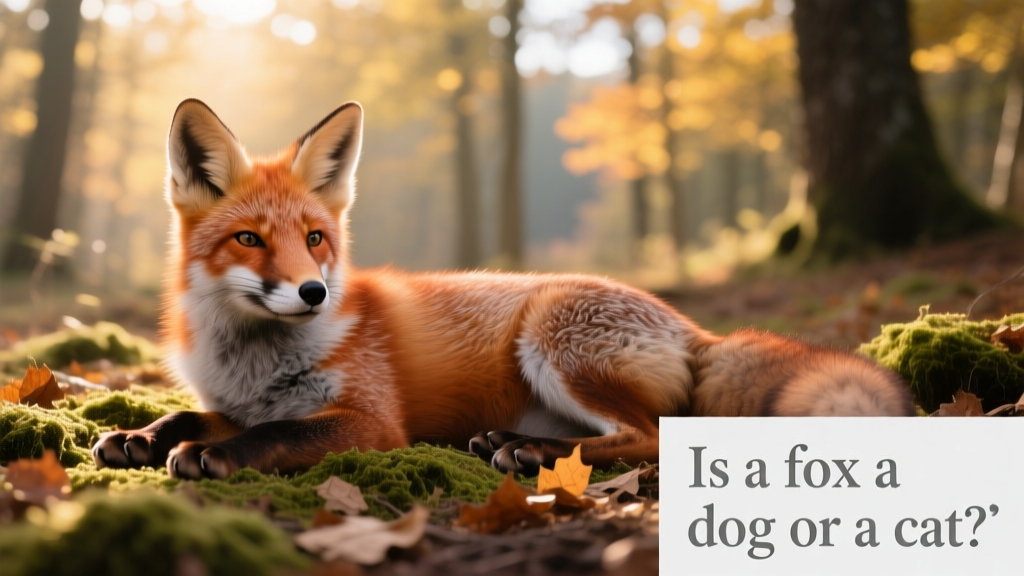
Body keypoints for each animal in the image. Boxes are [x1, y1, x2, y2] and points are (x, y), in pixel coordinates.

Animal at [91, 99, 914, 480]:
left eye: (316, 239)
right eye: (250, 240)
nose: (313, 293)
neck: (252, 359)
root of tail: (690, 327)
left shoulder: (371, 422)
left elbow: (273, 436)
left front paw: (216, 457)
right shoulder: (242, 400)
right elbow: (190, 416)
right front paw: (140, 436)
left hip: (552, 338)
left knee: (651, 435)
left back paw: (527, 453)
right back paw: (512, 445)